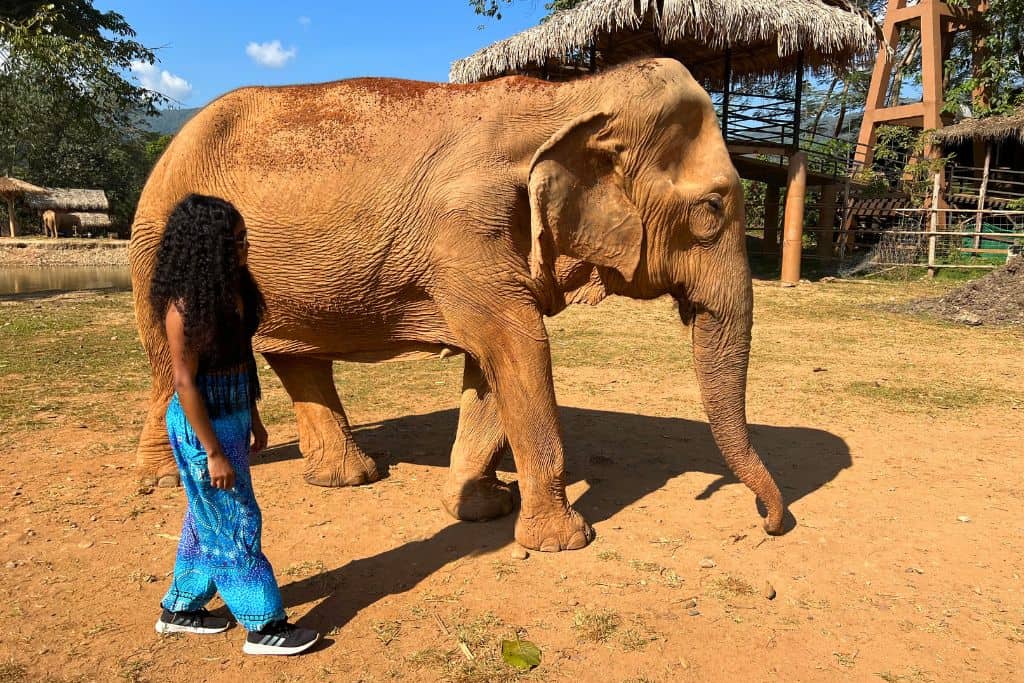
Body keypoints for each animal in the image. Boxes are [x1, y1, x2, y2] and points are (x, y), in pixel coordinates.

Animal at [128, 56, 782, 552]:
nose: (770, 524)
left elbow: (495, 363)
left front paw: (482, 505)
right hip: (158, 247)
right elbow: (520, 346)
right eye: (712, 210)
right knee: (169, 358)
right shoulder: (466, 231)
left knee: (299, 358)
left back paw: (350, 478)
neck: (569, 98)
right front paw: (565, 540)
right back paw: (163, 482)